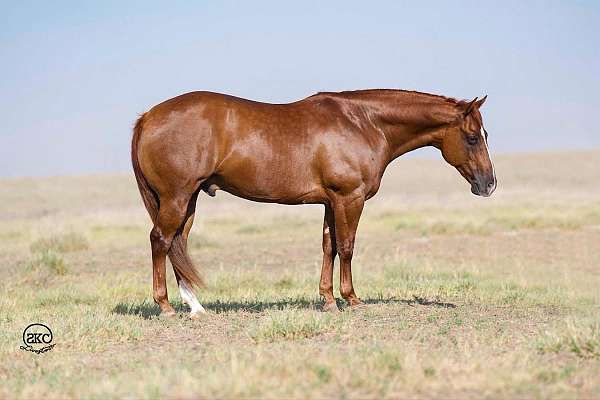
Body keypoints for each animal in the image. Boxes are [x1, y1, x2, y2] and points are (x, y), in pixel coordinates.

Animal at [131, 89, 496, 318]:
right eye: (472, 137)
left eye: (486, 135)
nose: (489, 184)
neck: (363, 122)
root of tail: (147, 117)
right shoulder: (350, 198)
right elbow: (347, 247)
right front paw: (352, 299)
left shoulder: (330, 202)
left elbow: (328, 246)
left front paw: (328, 300)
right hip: (176, 197)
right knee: (160, 240)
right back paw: (165, 307)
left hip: (188, 200)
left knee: (178, 243)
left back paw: (195, 307)